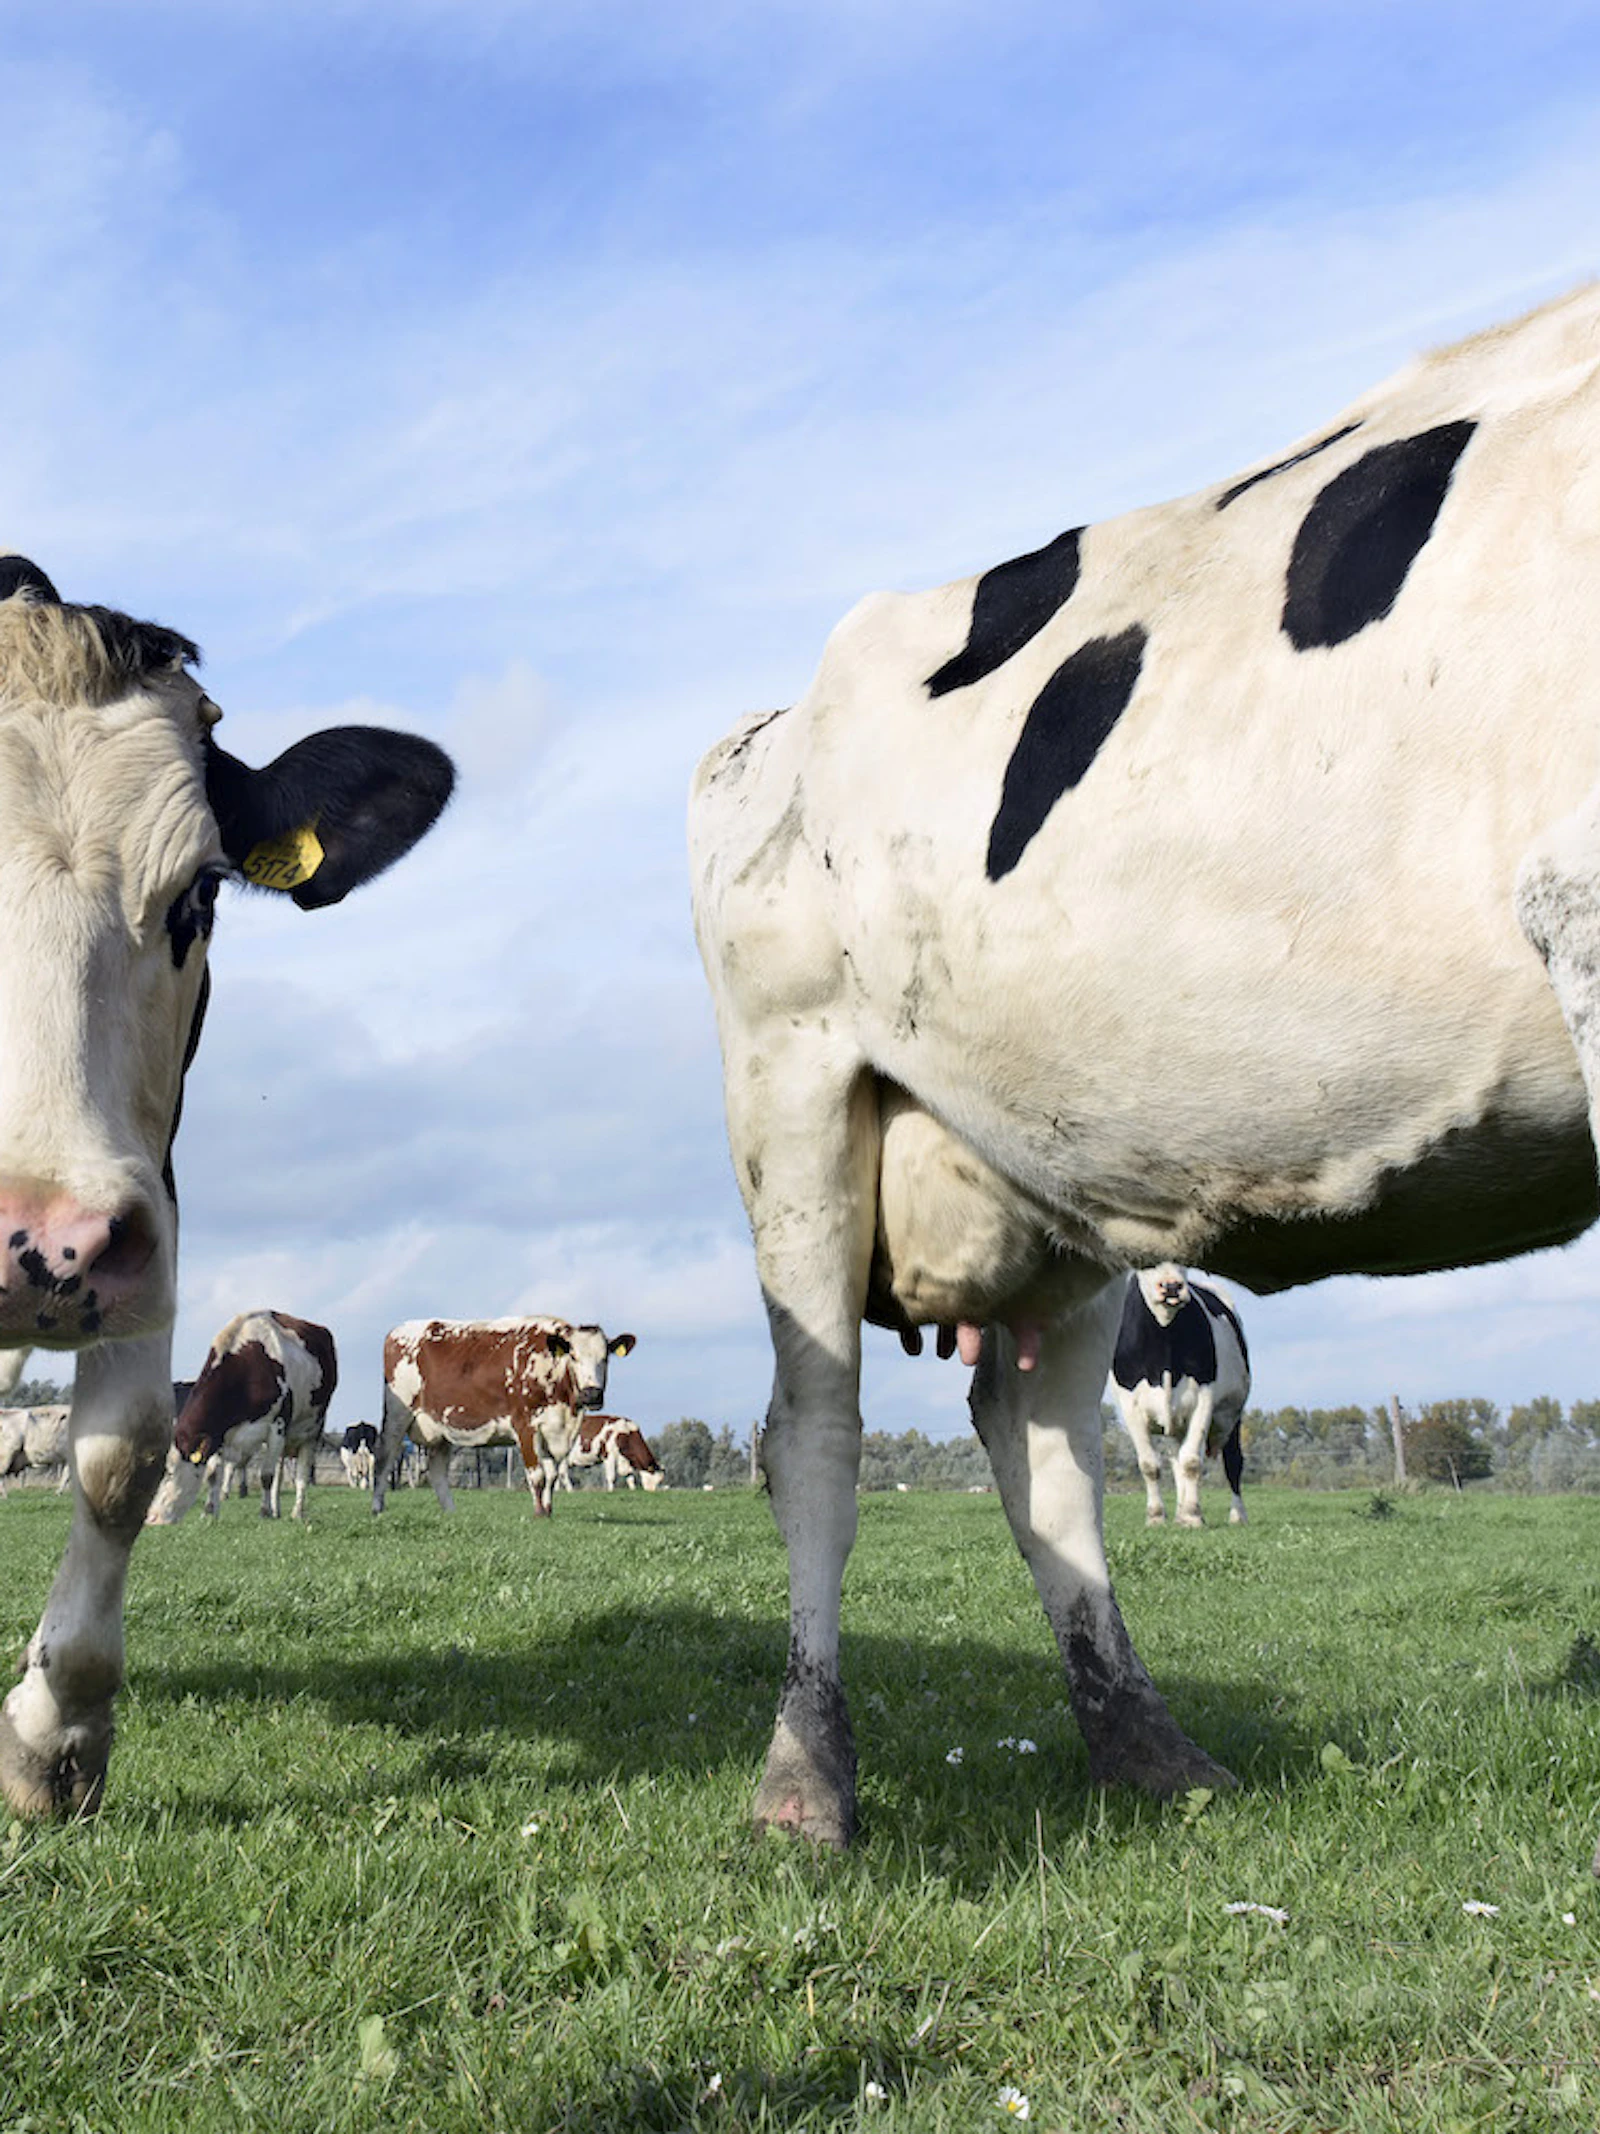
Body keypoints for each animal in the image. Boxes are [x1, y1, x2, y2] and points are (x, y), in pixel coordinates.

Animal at [145, 1311, 338, 1524]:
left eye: (170, 1473)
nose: (151, 1518)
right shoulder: (218, 1432)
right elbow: (213, 1475)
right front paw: (209, 1511)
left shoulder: (277, 1426)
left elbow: (266, 1476)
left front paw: (264, 1512)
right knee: (280, 1472)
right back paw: (277, 1509)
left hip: (312, 1430)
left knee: (302, 1473)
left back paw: (297, 1512)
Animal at [374, 1317, 637, 1515]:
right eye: (573, 1356)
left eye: (606, 1358)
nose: (592, 1393)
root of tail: (399, 1330)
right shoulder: (526, 1425)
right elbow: (538, 1475)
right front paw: (539, 1514)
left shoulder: (552, 1429)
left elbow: (552, 1475)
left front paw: (548, 1510)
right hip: (397, 1415)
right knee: (384, 1459)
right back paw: (377, 1507)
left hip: (440, 1428)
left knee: (437, 1471)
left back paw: (451, 1513)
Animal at [1112, 1267, 1249, 1528]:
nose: (1172, 1287)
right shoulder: (1130, 1405)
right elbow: (1150, 1465)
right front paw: (1157, 1516)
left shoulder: (1204, 1397)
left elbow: (1192, 1462)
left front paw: (1193, 1515)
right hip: (1176, 1424)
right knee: (1176, 1461)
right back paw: (1179, 1513)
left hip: (1233, 1412)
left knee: (1233, 1461)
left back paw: (1237, 1515)